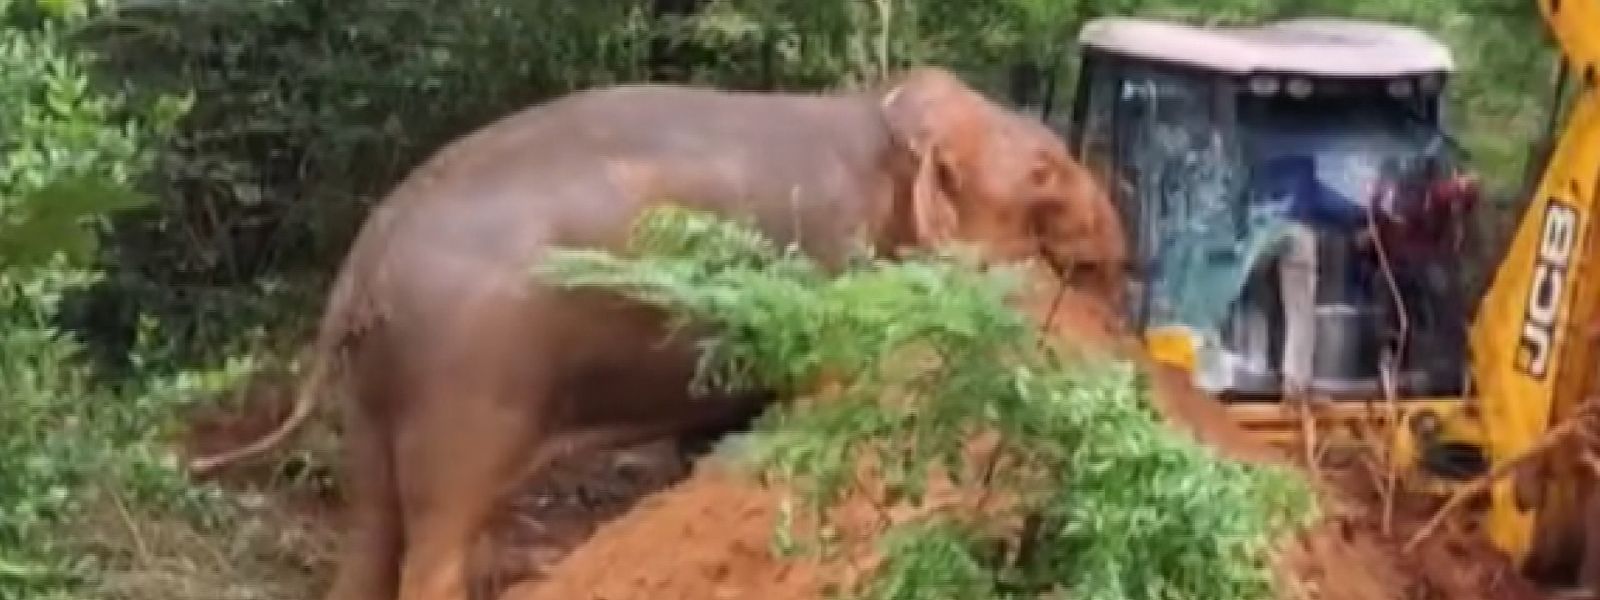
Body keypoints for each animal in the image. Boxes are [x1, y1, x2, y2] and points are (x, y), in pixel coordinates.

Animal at [191, 67, 1126, 600]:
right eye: (1046, 171)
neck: (881, 118)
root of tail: (364, 260)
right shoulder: (830, 270)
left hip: (379, 389)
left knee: (371, 529)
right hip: (469, 375)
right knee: (439, 532)